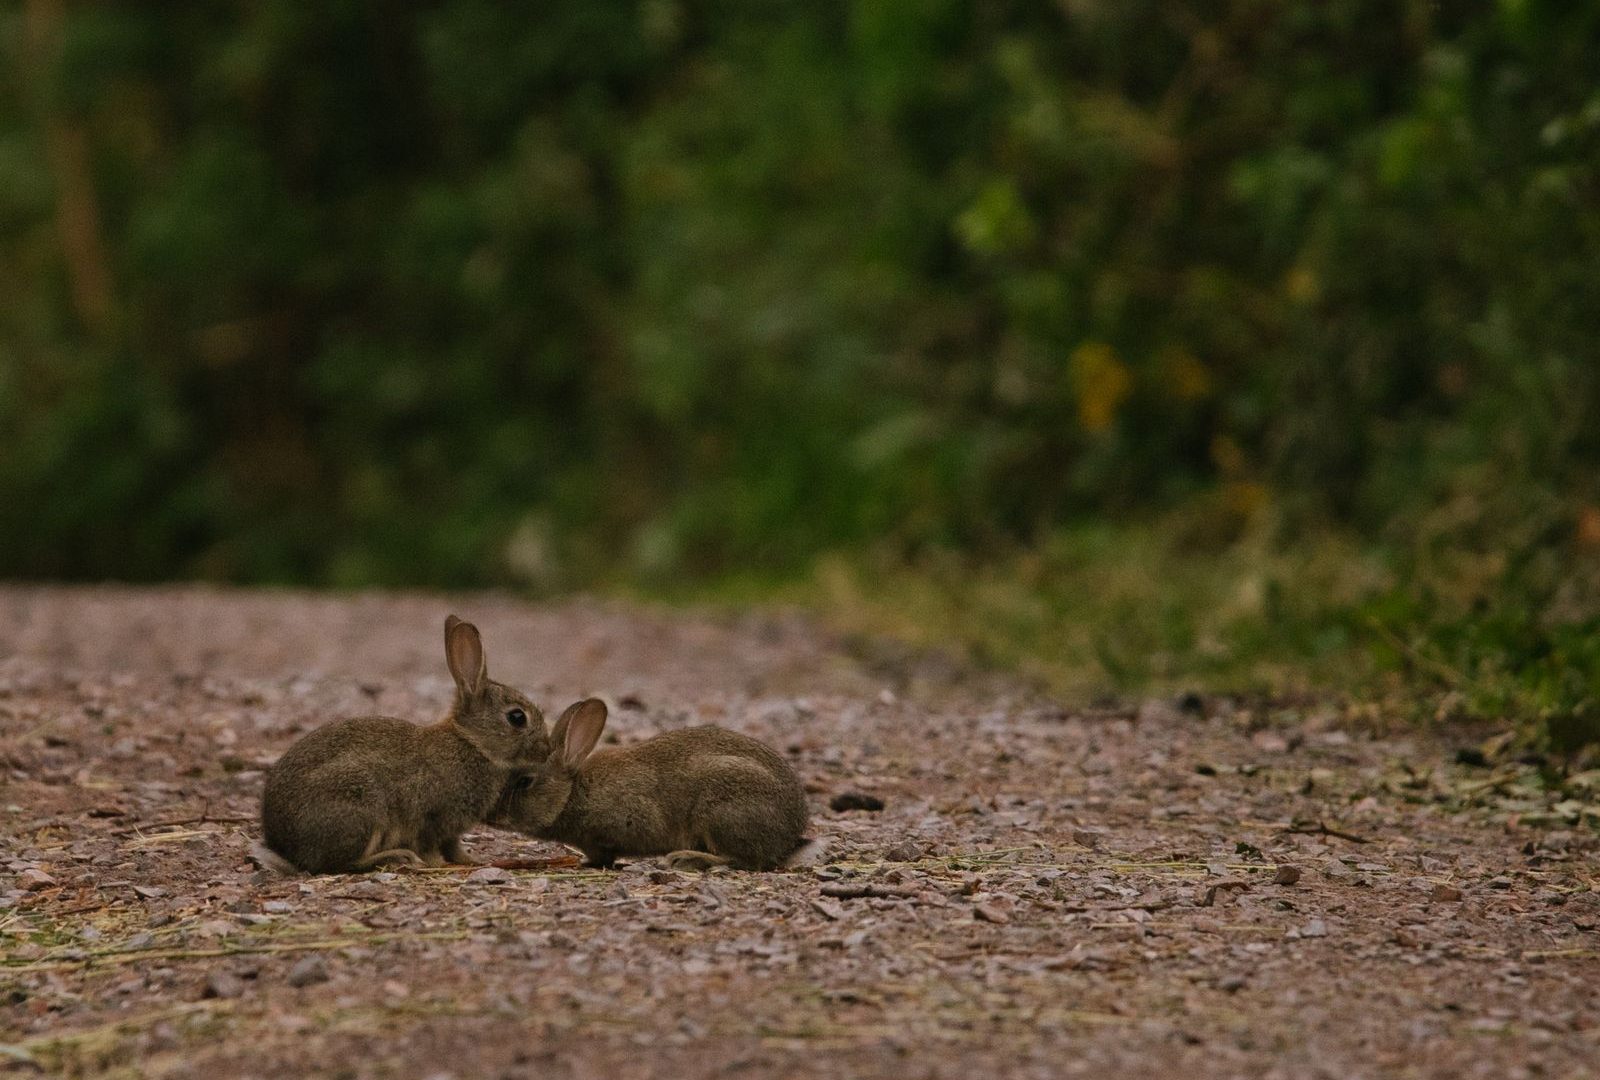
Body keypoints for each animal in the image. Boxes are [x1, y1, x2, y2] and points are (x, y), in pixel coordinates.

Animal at [256, 615, 549, 873]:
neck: (472, 742)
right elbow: (430, 846)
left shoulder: (452, 829)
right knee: (339, 863)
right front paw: (439, 865)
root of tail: (284, 846)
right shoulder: (432, 818)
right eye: (517, 717)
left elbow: (455, 847)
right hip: (361, 806)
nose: (546, 751)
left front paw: (471, 860)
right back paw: (398, 856)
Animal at [490, 698, 815, 871]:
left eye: (525, 781)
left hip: (722, 811)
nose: (493, 815)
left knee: (741, 859)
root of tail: (790, 831)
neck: (572, 794)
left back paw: (685, 858)